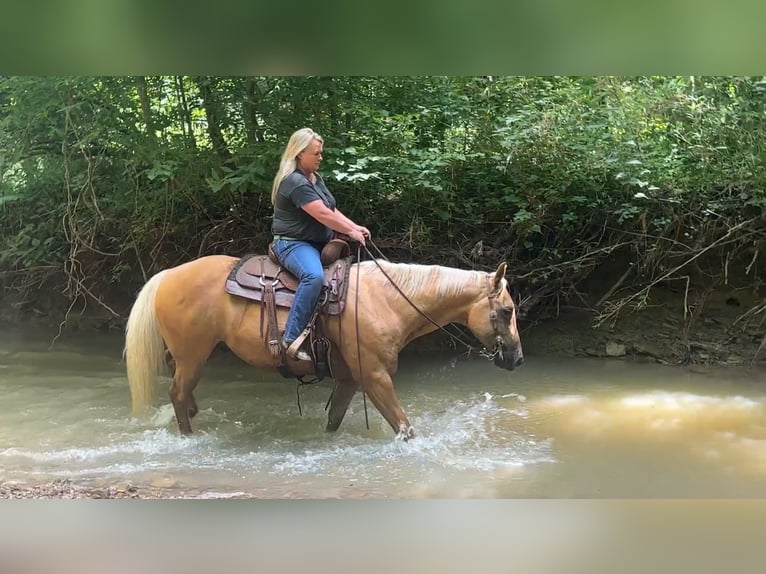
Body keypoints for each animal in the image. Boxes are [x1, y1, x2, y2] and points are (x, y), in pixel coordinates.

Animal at [124, 255, 524, 440]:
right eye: (507, 310)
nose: (517, 359)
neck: (387, 299)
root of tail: (168, 275)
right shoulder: (375, 375)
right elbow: (405, 427)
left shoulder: (349, 379)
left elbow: (334, 421)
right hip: (194, 354)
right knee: (177, 393)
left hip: (186, 356)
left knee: (182, 391)